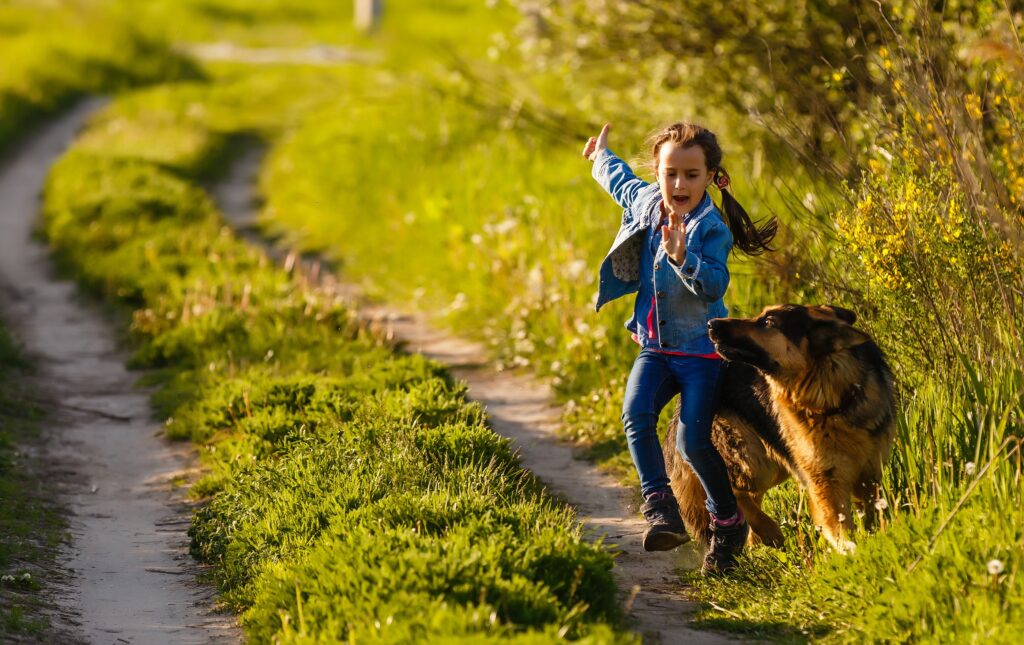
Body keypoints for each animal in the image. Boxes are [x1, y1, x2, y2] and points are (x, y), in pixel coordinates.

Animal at [663, 305, 897, 552]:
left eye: (768, 322)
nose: (711, 324)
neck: (831, 399)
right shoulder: (825, 483)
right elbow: (840, 529)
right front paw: (852, 551)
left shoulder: (870, 476)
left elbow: (872, 513)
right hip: (755, 463)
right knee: (726, 491)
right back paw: (768, 530)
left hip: (775, 466)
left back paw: (757, 541)